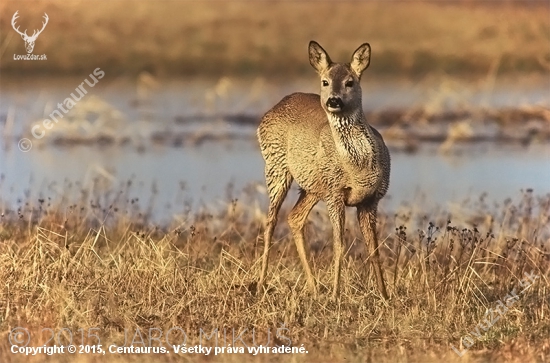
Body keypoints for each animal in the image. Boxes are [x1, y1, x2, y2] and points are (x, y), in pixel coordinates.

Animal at [258, 40, 392, 302]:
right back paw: (260, 284)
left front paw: (384, 295)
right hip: (276, 168)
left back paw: (313, 288)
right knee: (270, 222)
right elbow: (339, 245)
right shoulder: (335, 193)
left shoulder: (372, 198)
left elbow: (374, 248)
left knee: (295, 218)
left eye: (350, 82)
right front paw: (336, 295)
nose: (334, 101)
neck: (359, 168)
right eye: (325, 81)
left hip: (312, 187)